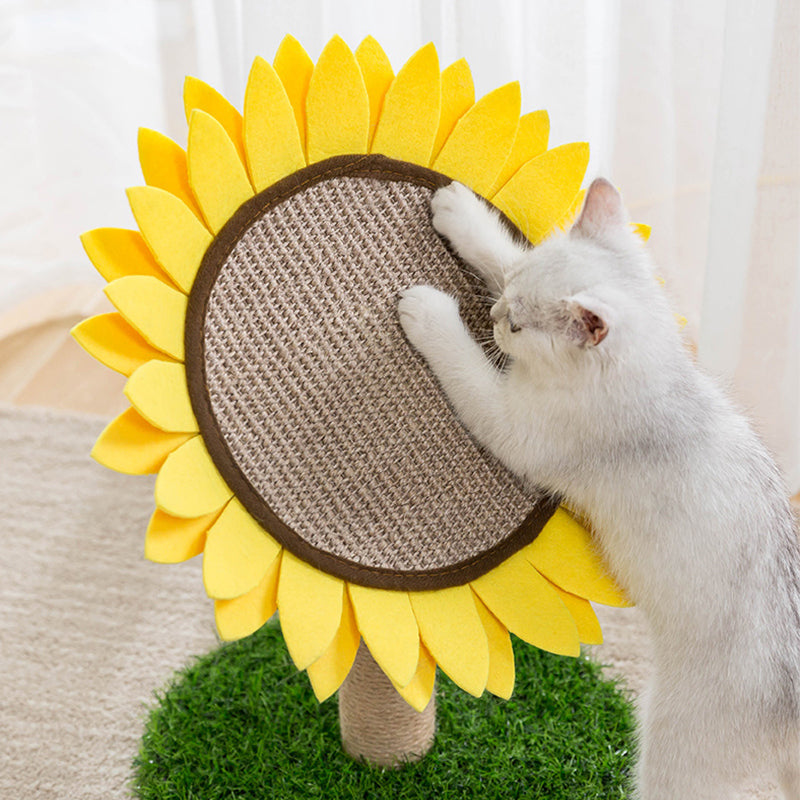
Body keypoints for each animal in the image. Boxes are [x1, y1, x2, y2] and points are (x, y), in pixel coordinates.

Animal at [398, 181, 800, 800]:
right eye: (507, 300)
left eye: (517, 327)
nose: (492, 314)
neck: (658, 381)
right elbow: (505, 251)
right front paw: (459, 212)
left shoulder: (516, 428)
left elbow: (465, 366)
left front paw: (428, 310)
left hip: (674, 750)